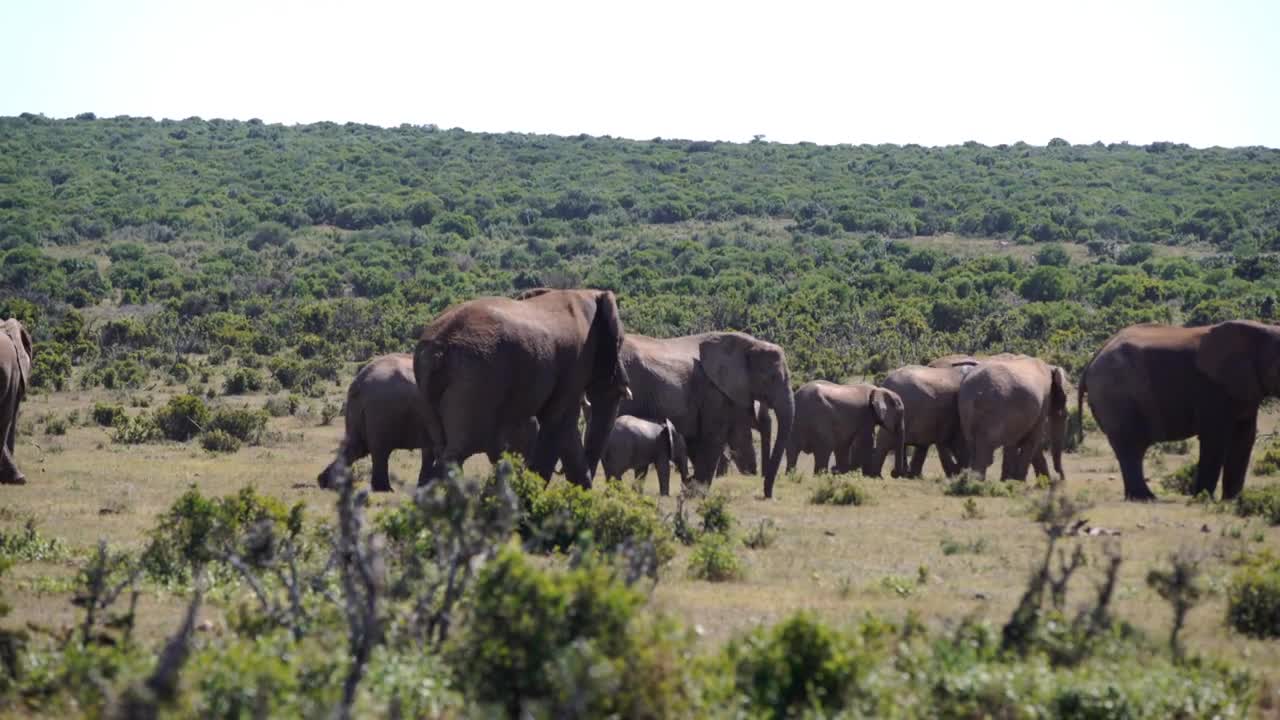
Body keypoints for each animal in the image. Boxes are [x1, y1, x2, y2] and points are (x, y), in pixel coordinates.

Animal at [322, 351, 542, 489]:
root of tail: (359, 382)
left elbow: (431, 450)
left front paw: (426, 484)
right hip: (381, 411)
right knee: (379, 450)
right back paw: (383, 489)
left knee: (355, 446)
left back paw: (326, 483)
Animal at [409, 286, 629, 486]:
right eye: (620, 342)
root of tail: (436, 350)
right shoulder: (577, 362)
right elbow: (559, 422)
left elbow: (565, 431)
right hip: (474, 379)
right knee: (462, 449)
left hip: (431, 386)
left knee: (444, 449)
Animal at [616, 333, 793, 497]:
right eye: (770, 378)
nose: (767, 495)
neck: (750, 343)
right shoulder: (714, 393)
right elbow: (713, 438)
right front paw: (697, 493)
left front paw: (692, 489)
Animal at [962, 353, 1070, 481]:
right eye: (1064, 415)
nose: (1061, 478)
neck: (1050, 367)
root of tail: (975, 392)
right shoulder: (1043, 401)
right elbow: (1032, 439)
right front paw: (1016, 481)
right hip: (994, 410)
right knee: (984, 452)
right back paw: (977, 482)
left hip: (968, 413)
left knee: (975, 448)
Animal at [1080, 319, 1280, 499]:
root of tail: (1094, 356)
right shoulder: (1212, 388)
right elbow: (1214, 438)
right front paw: (1202, 499)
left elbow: (1244, 438)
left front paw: (1232, 501)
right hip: (1115, 394)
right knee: (1130, 446)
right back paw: (1145, 498)